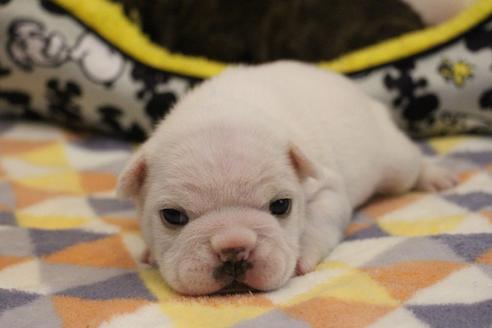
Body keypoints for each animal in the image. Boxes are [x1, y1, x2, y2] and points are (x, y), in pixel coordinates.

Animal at [117, 60, 456, 294]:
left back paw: (436, 177)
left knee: (411, 165)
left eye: (281, 206)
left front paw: (302, 256)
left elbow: (319, 222)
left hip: (395, 164)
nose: (234, 247)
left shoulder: (328, 189)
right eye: (172, 216)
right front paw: (149, 252)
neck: (221, 112)